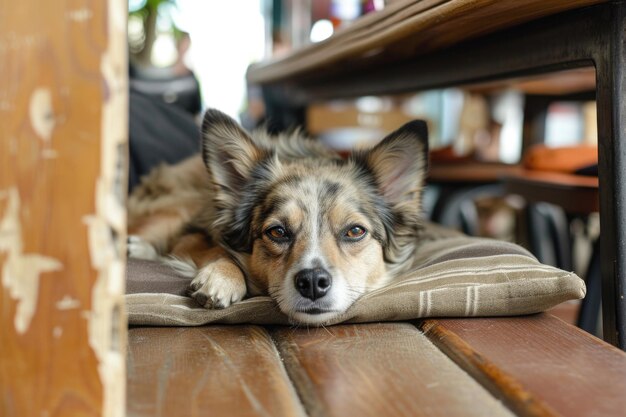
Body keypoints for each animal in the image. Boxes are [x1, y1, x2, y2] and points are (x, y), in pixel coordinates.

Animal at [128, 109, 428, 324]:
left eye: (355, 231)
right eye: (277, 231)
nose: (312, 283)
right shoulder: (193, 232)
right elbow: (216, 248)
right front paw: (221, 277)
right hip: (178, 207)